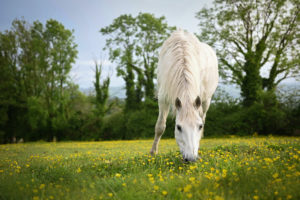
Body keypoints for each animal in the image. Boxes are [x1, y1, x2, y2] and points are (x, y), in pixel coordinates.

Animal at [150, 29, 218, 161]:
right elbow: (160, 126)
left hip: (206, 101)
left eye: (199, 126)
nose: (191, 158)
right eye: (178, 127)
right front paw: (153, 153)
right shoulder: (163, 98)